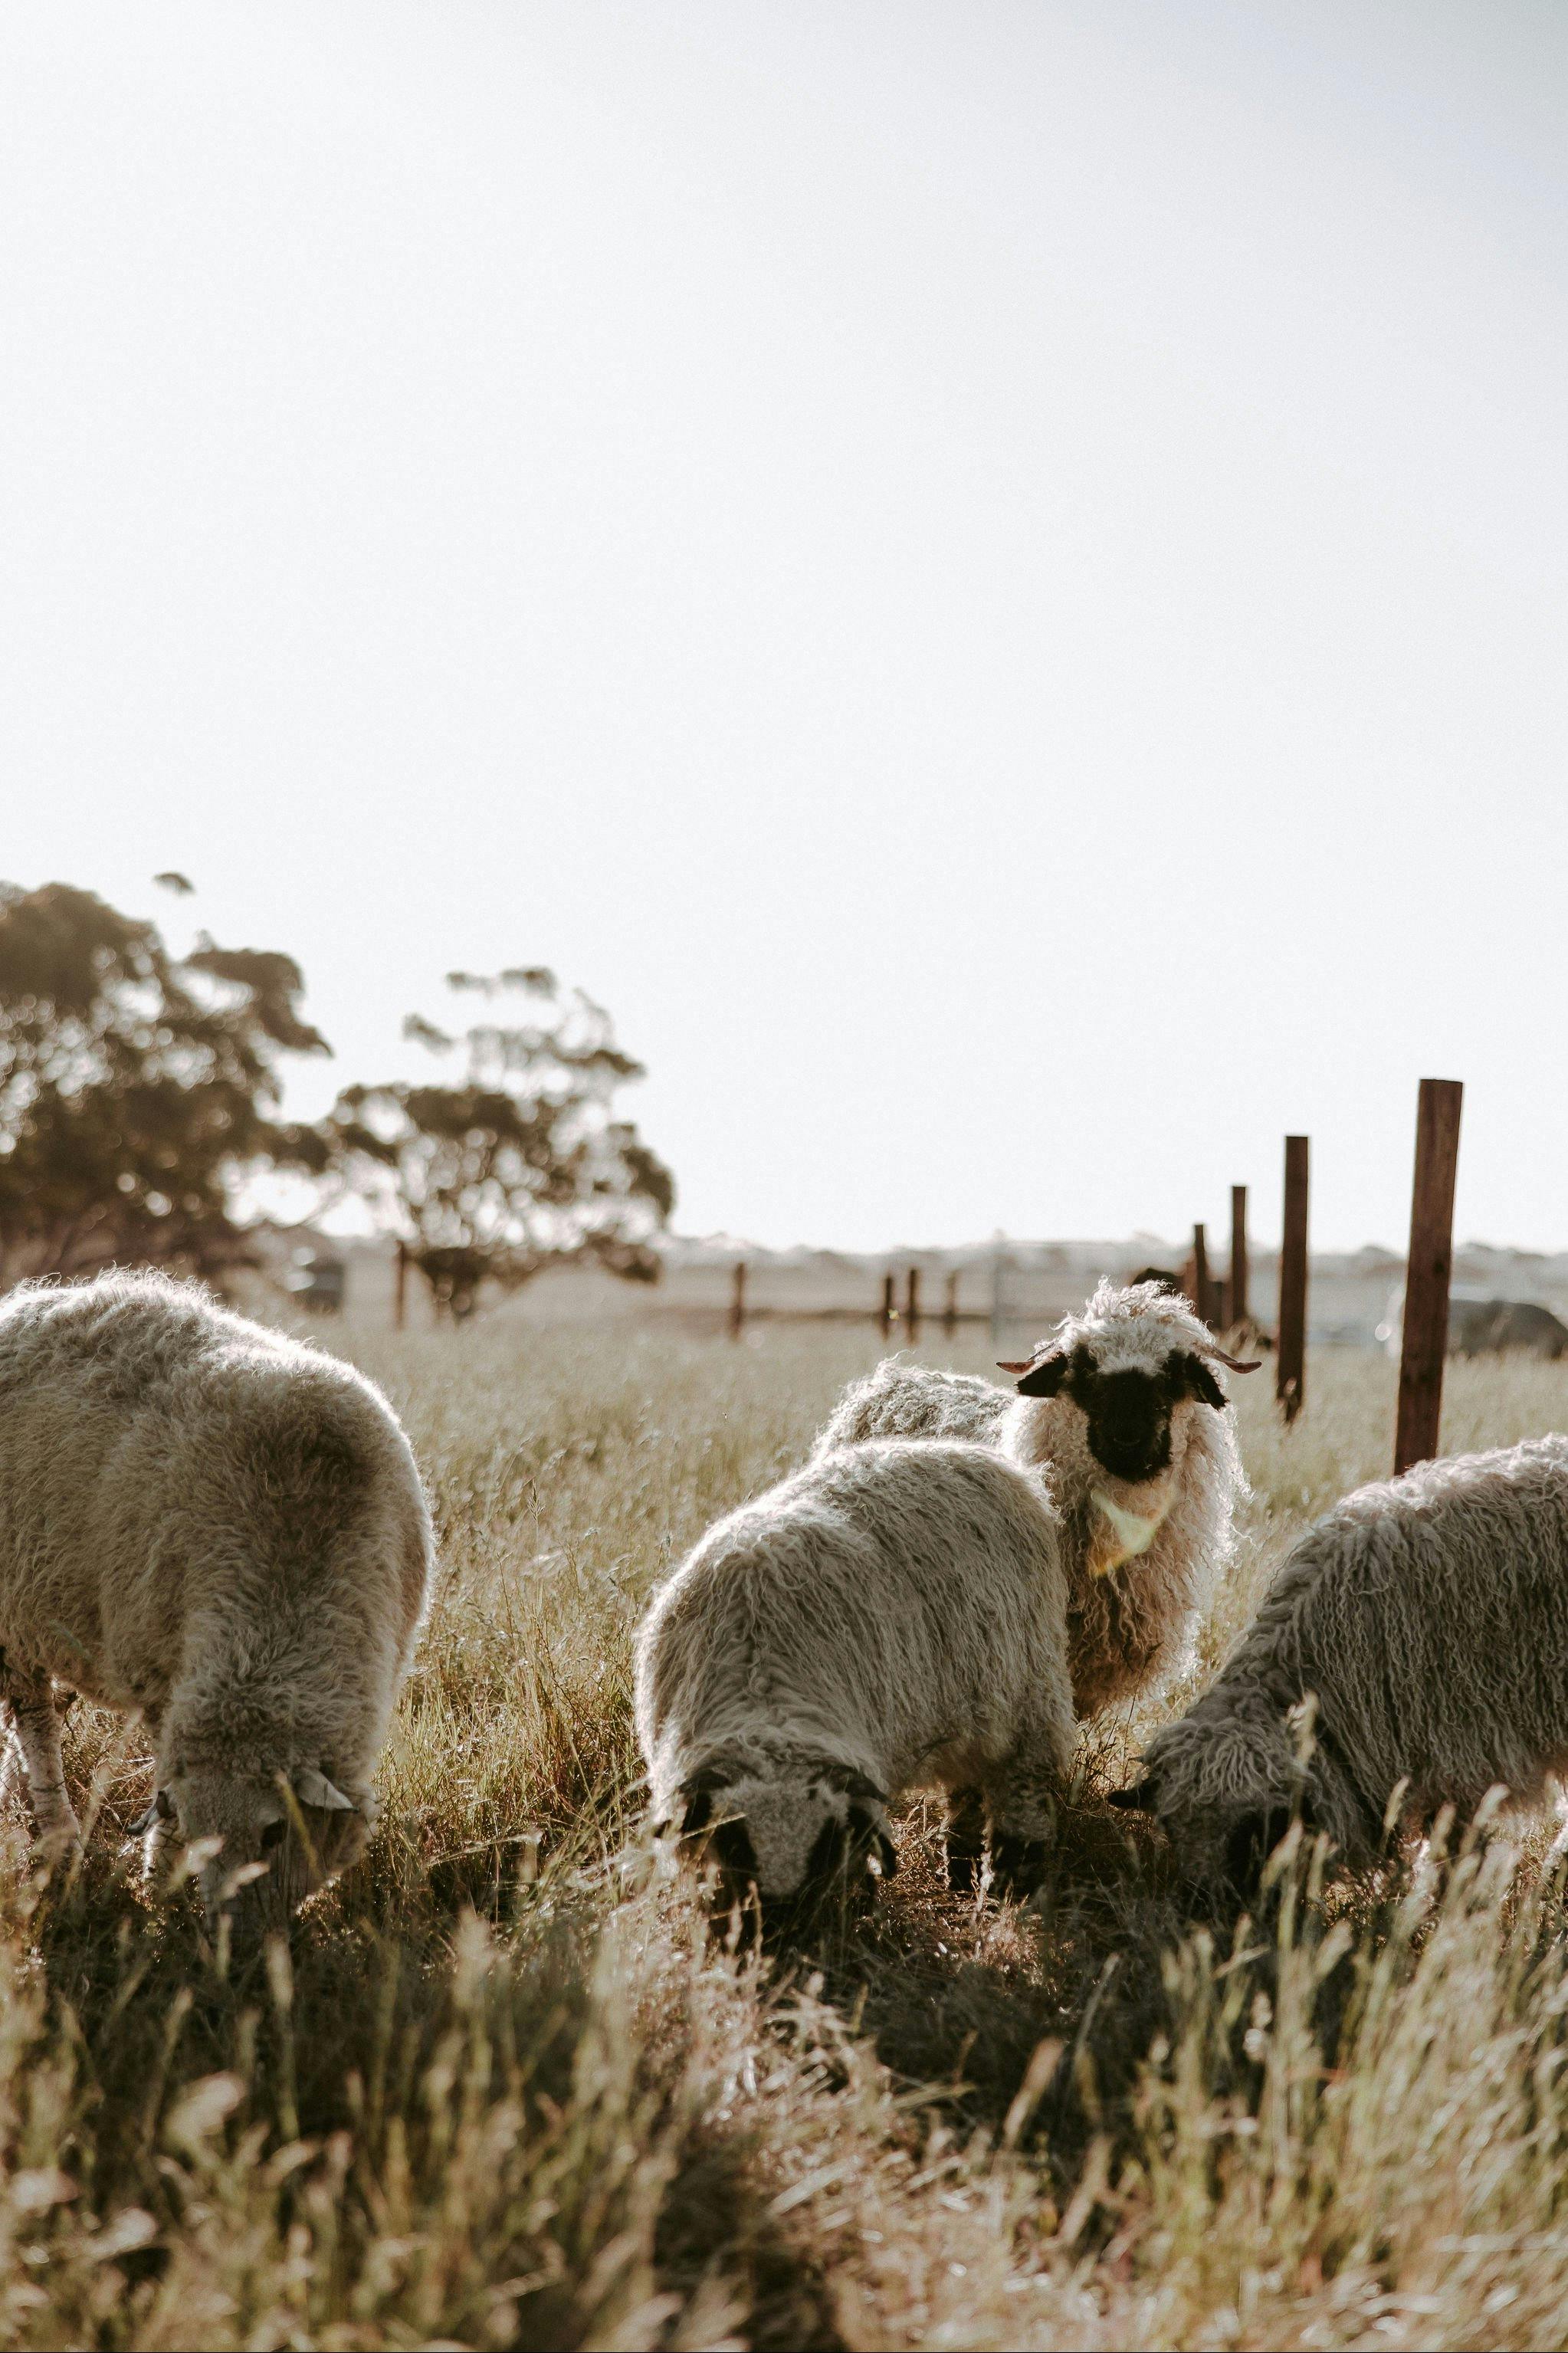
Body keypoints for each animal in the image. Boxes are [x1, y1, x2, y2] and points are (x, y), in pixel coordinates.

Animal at [0, 1270, 434, 1928]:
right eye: (202, 1835)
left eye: (277, 1832)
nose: (238, 1938)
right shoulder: (162, 1679)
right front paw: (158, 1885)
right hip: (13, 1618)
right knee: (36, 1725)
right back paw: (59, 1838)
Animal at [635, 1437, 1076, 1924]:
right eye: (735, 1847)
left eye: (824, 1849)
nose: (781, 1929)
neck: (766, 1692)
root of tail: (969, 1452)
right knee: (967, 1791)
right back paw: (960, 1870)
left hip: (1029, 1698)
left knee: (1021, 1795)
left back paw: (1008, 1892)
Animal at [1110, 1435, 1568, 1903]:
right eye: (1170, 1828)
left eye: (1254, 1830)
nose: (1203, 1907)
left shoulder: (1458, 1750)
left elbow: (1456, 1848)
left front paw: (1453, 1909)